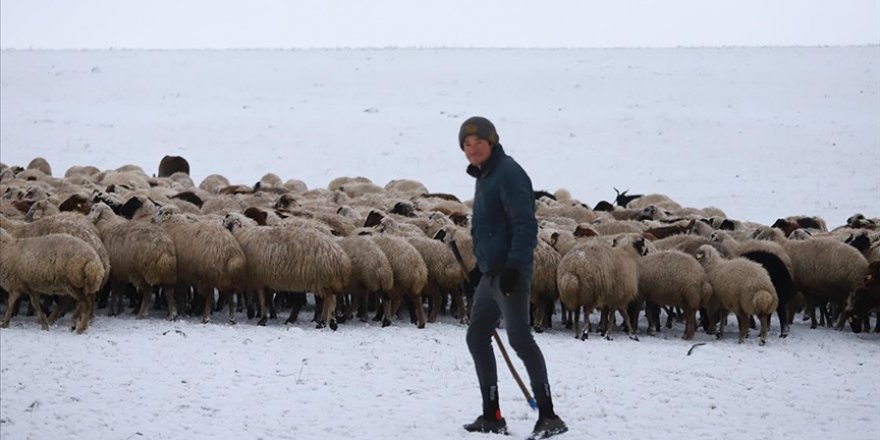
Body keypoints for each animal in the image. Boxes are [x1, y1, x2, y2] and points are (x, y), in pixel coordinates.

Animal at [222, 211, 352, 328]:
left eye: (228, 218)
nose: (223, 220)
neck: (243, 234)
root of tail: (340, 255)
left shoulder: (259, 279)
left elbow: (263, 301)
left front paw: (262, 319)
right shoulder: (265, 279)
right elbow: (266, 300)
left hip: (323, 279)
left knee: (328, 301)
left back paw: (322, 322)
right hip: (325, 280)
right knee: (330, 300)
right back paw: (331, 322)